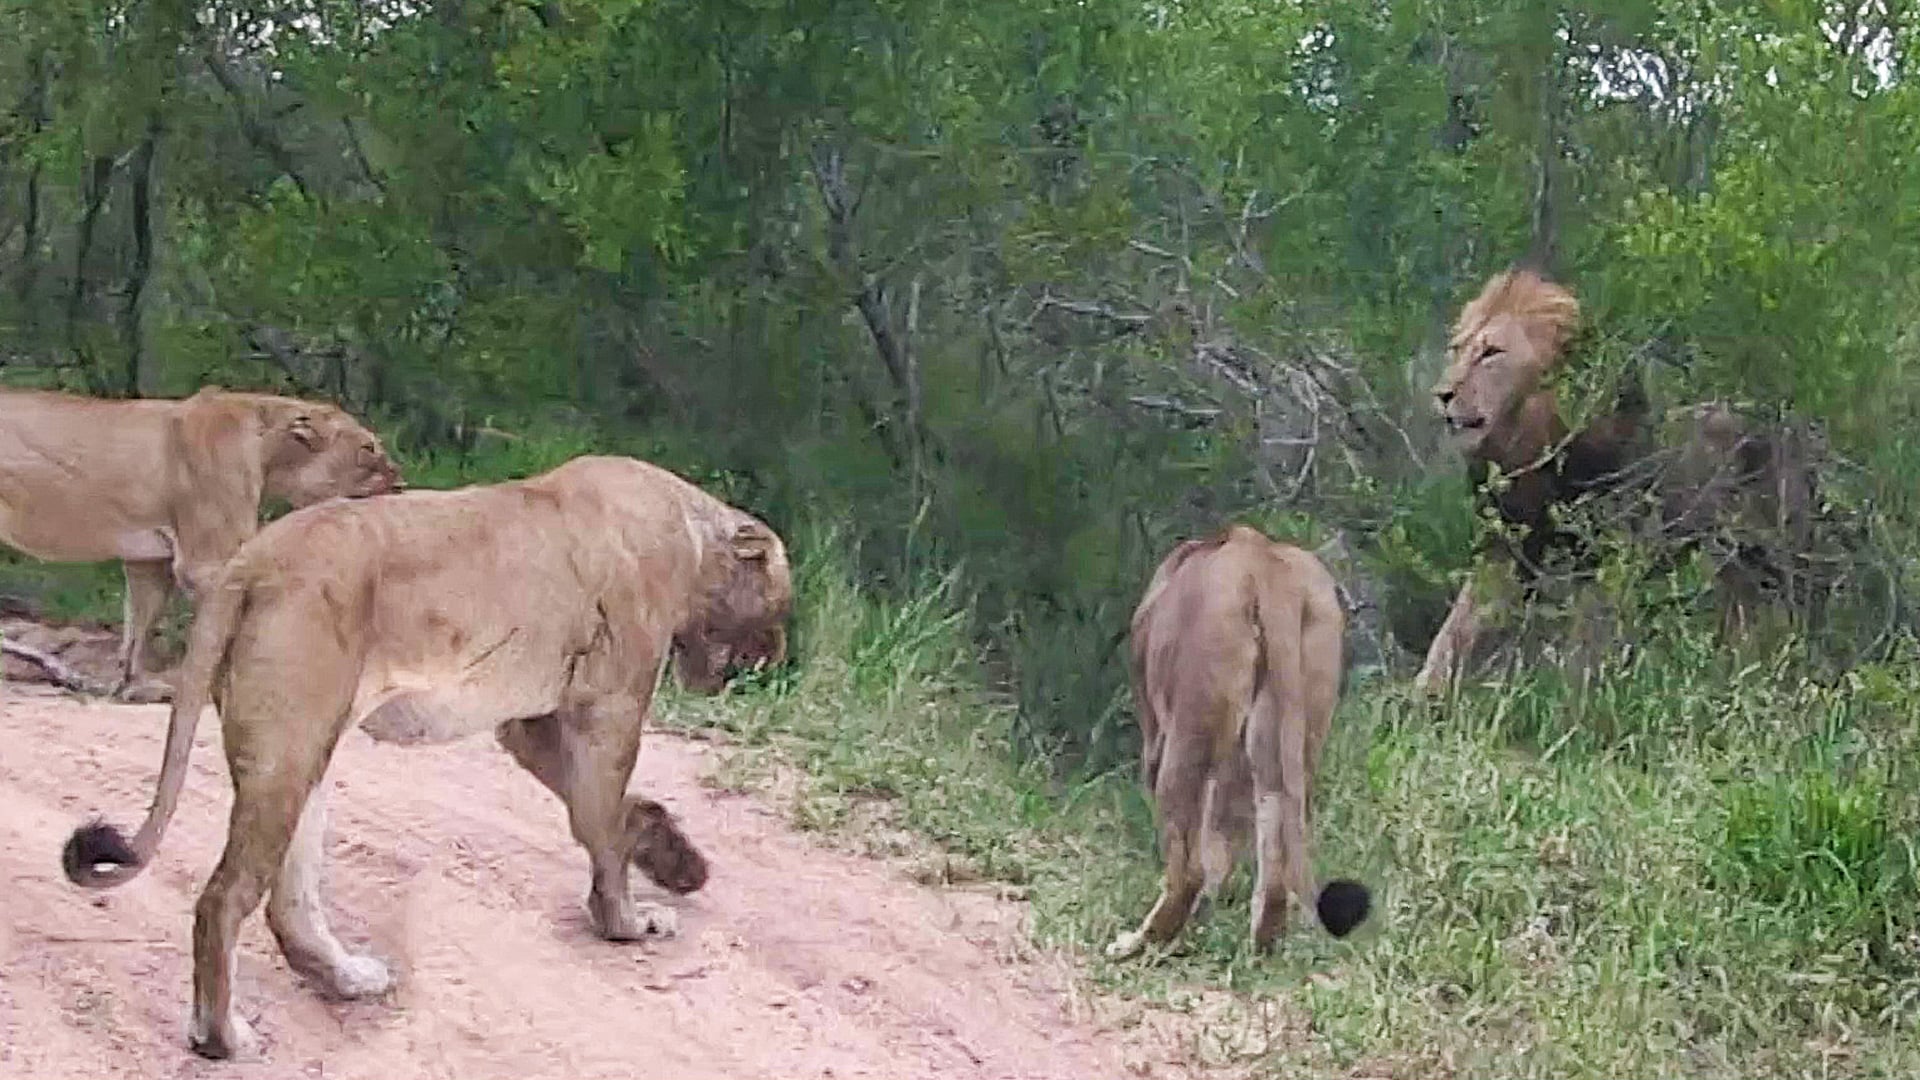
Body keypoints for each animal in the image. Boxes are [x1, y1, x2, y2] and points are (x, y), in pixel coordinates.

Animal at [0, 386, 403, 702]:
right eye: (368, 447)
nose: (400, 482)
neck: (269, 449)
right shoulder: (209, 561)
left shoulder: (149, 560)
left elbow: (139, 625)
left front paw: (134, 687)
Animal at [59, 454, 791, 1060]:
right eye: (782, 603)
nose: (781, 654)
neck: (689, 535)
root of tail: (250, 561)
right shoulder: (609, 708)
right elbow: (600, 825)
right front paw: (628, 923)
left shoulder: (529, 723)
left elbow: (606, 813)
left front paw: (675, 857)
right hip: (288, 750)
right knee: (224, 899)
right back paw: (223, 1037)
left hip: (306, 751)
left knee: (287, 902)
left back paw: (349, 979)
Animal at [1107, 525, 1371, 960]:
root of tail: (1262, 561)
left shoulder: (1156, 728)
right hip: (1296, 725)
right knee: (1275, 839)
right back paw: (1261, 945)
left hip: (1187, 732)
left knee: (1189, 867)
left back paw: (1141, 944)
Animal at [1415, 267, 1819, 692]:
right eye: (1456, 349)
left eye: (1491, 352)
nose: (1442, 393)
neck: (1533, 447)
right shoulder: (1505, 550)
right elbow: (1456, 630)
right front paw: (1424, 694)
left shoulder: (1606, 556)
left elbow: (1587, 642)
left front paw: (1575, 694)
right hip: (1734, 568)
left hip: (1778, 559)